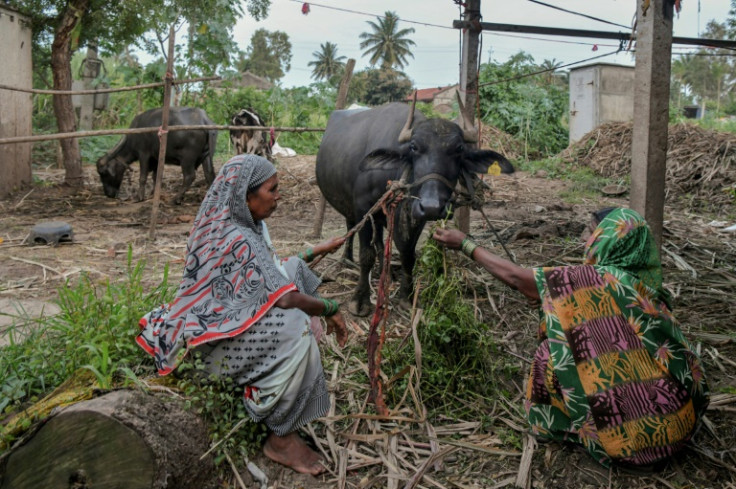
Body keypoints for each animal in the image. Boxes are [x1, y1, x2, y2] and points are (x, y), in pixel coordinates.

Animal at [314, 97, 512, 316]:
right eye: (414, 147)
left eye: (459, 149)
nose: (432, 206)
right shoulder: (363, 209)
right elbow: (366, 255)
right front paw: (360, 300)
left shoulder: (415, 214)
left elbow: (408, 254)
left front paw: (406, 298)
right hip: (349, 206)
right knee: (351, 227)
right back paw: (347, 260)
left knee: (381, 241)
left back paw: (386, 272)